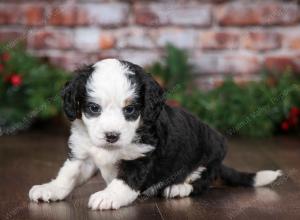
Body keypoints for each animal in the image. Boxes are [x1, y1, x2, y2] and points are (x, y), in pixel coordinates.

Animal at [27, 58, 282, 210]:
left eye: (130, 110)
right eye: (93, 108)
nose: (111, 136)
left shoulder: (141, 157)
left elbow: (125, 181)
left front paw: (109, 196)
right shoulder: (83, 154)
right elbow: (68, 175)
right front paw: (51, 189)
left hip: (211, 153)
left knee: (202, 182)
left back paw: (179, 187)